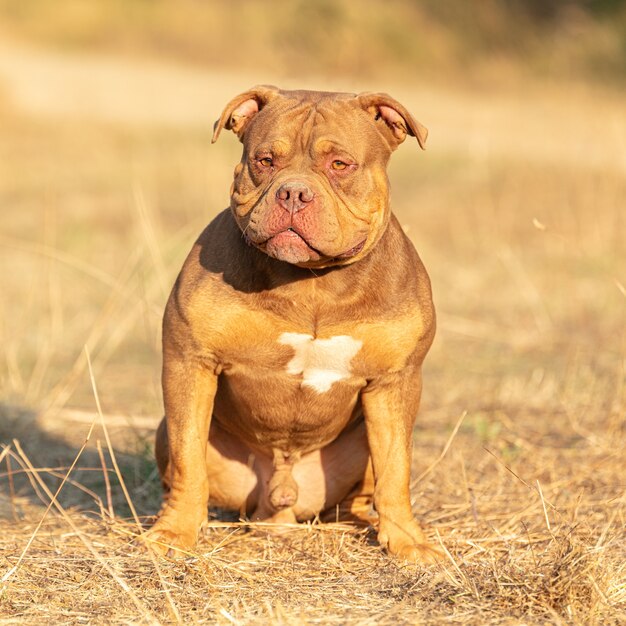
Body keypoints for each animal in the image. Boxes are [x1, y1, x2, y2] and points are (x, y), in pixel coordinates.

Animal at [145, 84, 438, 560]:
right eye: (265, 160)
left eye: (340, 165)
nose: (294, 193)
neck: (312, 282)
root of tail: (280, 500)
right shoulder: (190, 362)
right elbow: (189, 458)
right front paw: (175, 532)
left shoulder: (396, 383)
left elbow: (396, 468)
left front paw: (408, 543)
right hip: (166, 433)